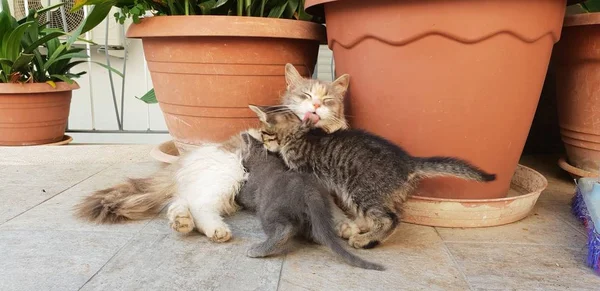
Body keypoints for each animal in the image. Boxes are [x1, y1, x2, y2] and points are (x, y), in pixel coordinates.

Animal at [76, 64, 356, 244]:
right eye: (305, 95)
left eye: (328, 100)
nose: (316, 105)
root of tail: (185, 159)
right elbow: (331, 206)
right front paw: (344, 224)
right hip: (228, 174)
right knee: (199, 205)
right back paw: (214, 230)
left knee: (183, 200)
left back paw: (181, 220)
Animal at [236, 133, 384, 272]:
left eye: (243, 159)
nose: (242, 165)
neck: (266, 160)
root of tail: (309, 189)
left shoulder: (251, 187)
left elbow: (244, 196)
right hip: (319, 211)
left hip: (269, 210)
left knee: (284, 229)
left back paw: (258, 250)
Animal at [246, 106, 494, 250]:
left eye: (265, 133)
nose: (265, 145)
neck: (299, 135)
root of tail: (407, 161)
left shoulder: (309, 175)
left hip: (362, 190)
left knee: (390, 219)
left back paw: (366, 240)